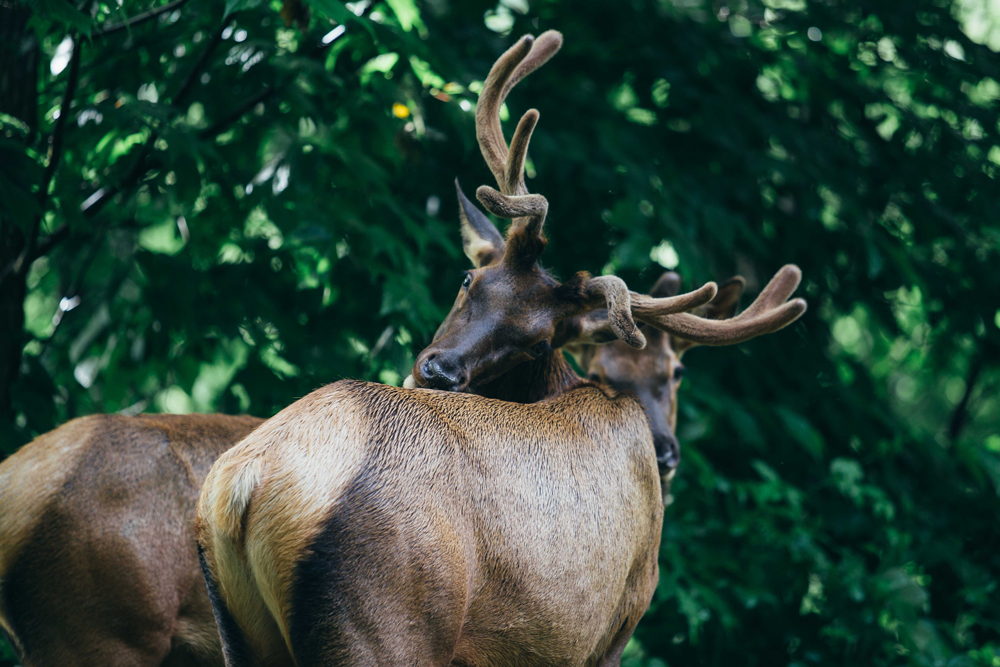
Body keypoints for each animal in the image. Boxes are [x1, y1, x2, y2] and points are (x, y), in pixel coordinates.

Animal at [199, 31, 808, 667]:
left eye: (537, 342)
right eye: (469, 279)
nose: (436, 371)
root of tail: (246, 486)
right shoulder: (617, 622)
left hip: (240, 629)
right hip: (385, 624)